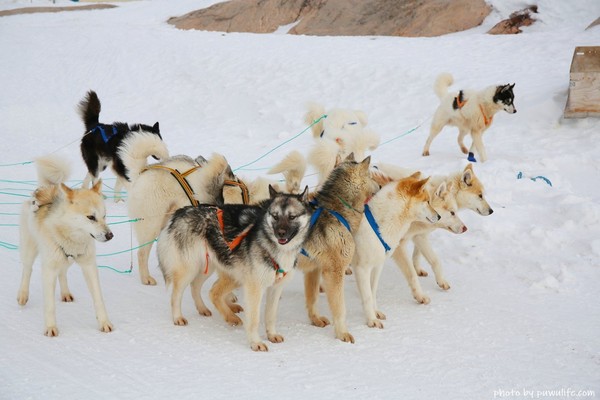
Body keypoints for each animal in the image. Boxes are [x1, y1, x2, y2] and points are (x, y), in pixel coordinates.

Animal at [17, 155, 113, 336]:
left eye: (104, 216)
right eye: (91, 217)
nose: (110, 235)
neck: (72, 237)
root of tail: (49, 186)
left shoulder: (89, 266)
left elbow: (99, 299)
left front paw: (105, 323)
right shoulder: (48, 270)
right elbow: (49, 306)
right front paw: (50, 328)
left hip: (66, 260)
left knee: (62, 272)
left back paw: (66, 293)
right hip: (30, 249)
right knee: (27, 269)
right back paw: (23, 295)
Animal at [157, 186, 312, 352]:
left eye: (292, 217)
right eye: (275, 216)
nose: (280, 233)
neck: (274, 249)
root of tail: (182, 210)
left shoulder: (275, 288)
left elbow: (270, 316)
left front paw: (271, 335)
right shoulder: (255, 288)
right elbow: (254, 319)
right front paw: (255, 342)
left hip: (212, 267)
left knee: (198, 287)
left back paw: (207, 310)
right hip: (190, 269)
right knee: (178, 295)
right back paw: (178, 317)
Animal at [296, 153, 378, 344]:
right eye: (371, 176)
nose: (379, 186)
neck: (337, 210)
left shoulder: (314, 269)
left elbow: (312, 299)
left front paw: (315, 320)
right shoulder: (335, 272)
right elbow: (340, 308)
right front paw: (342, 333)